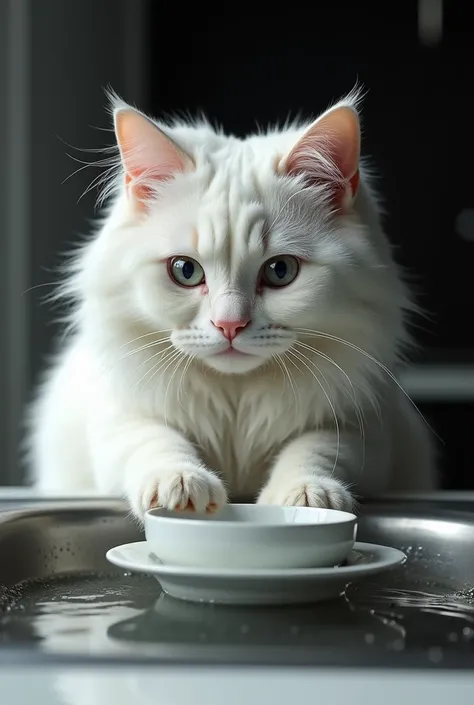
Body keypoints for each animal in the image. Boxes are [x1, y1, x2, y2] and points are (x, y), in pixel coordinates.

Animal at [25, 88, 434, 516]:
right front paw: (180, 485)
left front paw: (307, 496)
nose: (230, 325)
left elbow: (315, 450)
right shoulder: (119, 415)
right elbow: (154, 441)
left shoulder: (362, 427)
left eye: (280, 271)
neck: (236, 404)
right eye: (185, 271)